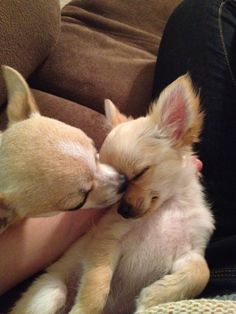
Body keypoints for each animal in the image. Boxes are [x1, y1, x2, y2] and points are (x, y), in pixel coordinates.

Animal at [10, 74, 214, 314]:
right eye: (120, 179)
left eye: (139, 174)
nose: (123, 211)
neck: (167, 209)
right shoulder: (107, 240)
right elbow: (96, 287)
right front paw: (83, 310)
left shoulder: (191, 251)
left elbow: (202, 272)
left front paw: (154, 296)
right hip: (50, 293)